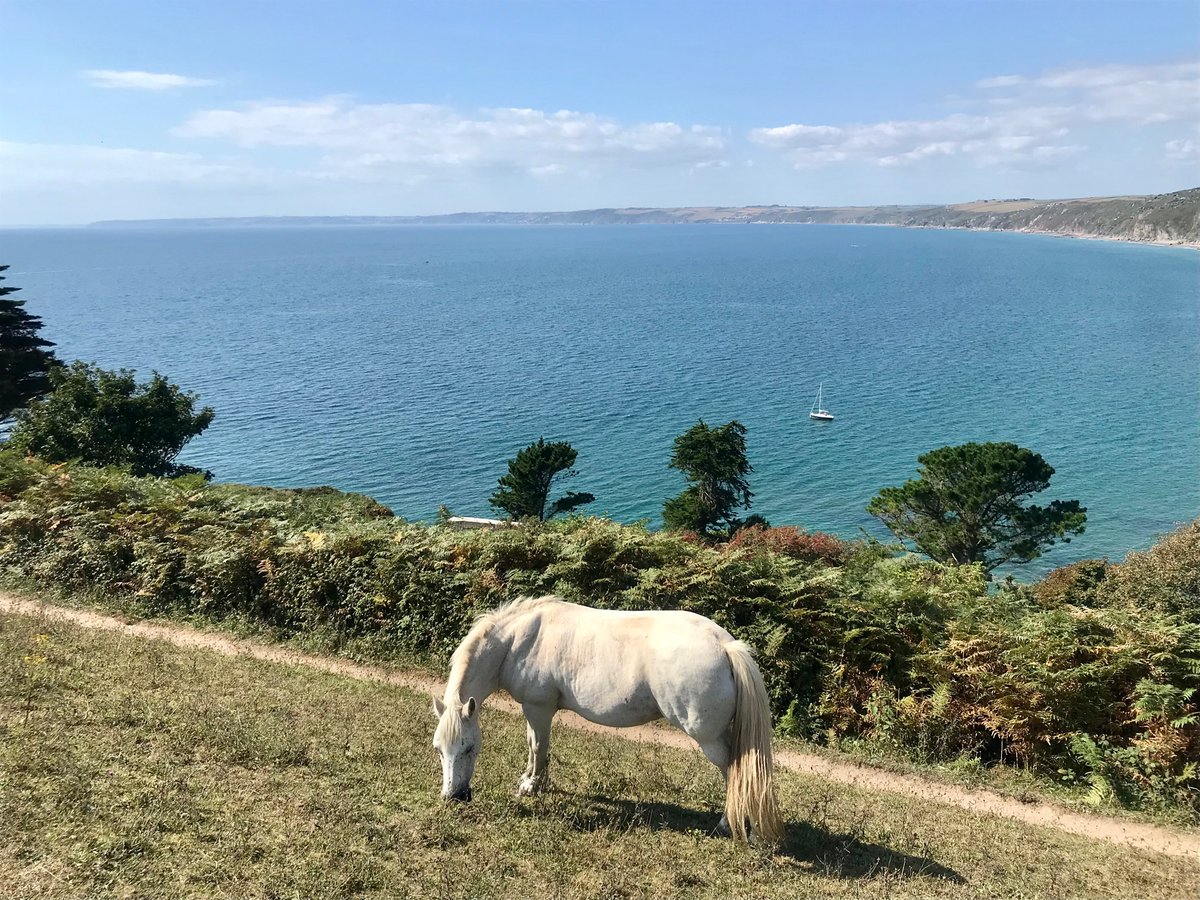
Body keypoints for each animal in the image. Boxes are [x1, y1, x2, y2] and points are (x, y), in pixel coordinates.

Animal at [431, 596, 783, 843]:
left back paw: (729, 825)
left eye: (469, 748)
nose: (453, 797)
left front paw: (532, 785)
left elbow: (538, 746)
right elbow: (536, 748)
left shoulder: (538, 708)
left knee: (734, 770)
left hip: (708, 738)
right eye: (438, 749)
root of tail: (725, 646)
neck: (519, 640)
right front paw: (532, 780)